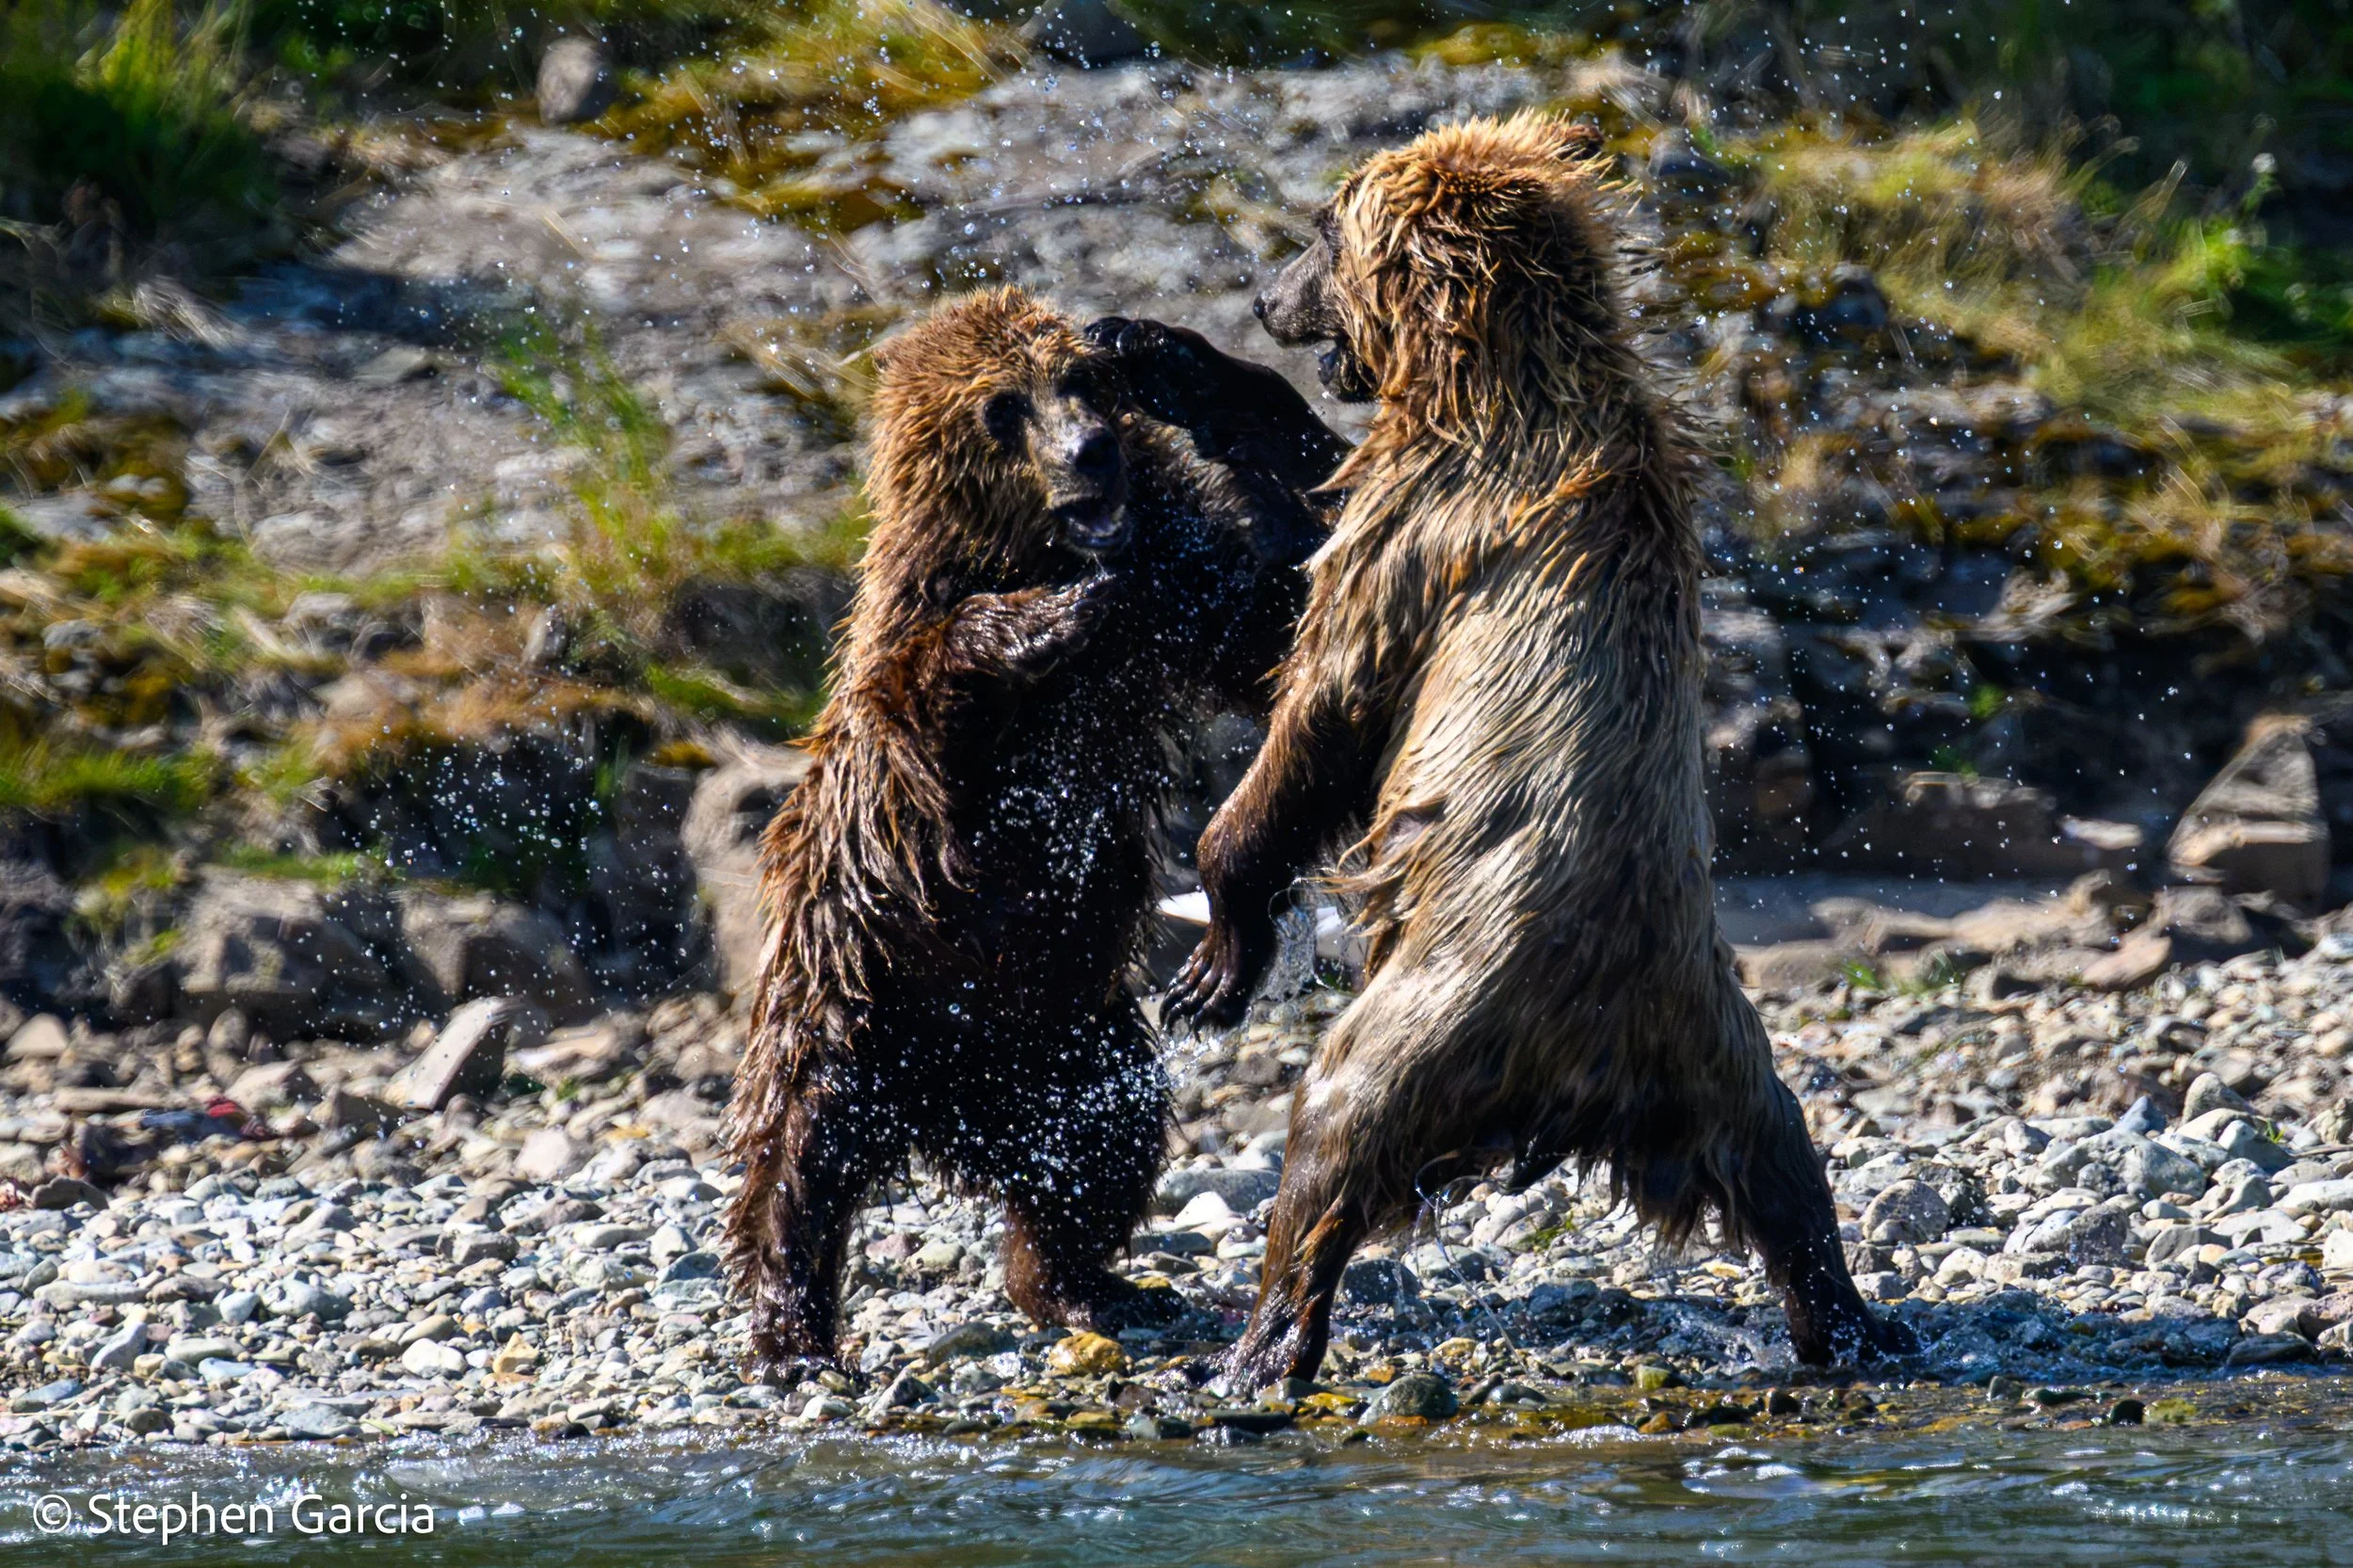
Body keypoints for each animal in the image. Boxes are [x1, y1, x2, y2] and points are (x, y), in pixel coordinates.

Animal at [722, 285, 1347, 1379]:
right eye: (1002, 405)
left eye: (1081, 380)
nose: (1091, 451)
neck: (1032, 549)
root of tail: (945, 1115)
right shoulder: (912, 693)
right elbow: (934, 691)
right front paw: (1047, 615)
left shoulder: (1178, 609)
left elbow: (1283, 628)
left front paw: (1192, 371)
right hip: (851, 1000)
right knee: (797, 1162)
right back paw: (792, 1335)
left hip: (1068, 1037)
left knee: (1105, 1140)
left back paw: (1091, 1284)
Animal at [1163, 112, 1911, 1384]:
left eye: (1320, 227)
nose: (1263, 295)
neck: (1486, 377)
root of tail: (1594, 1058)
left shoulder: (1417, 529)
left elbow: (1321, 700)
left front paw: (1213, 963)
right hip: (1715, 1034)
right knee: (1783, 1161)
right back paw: (1851, 1320)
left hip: (1440, 1005)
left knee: (1333, 1128)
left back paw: (1261, 1343)